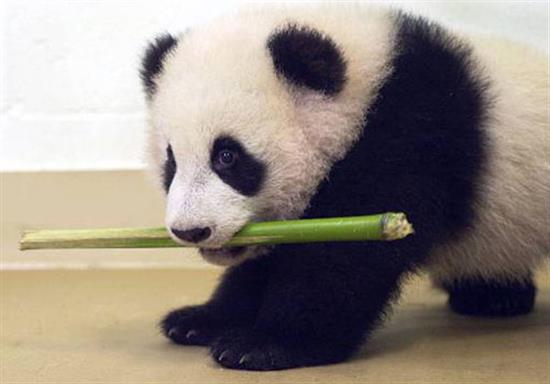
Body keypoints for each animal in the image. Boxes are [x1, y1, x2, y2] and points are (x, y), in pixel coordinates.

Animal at [141, 4, 550, 372]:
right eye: (171, 161)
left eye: (227, 156)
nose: (191, 230)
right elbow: (269, 258)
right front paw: (201, 320)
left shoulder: (414, 137)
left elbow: (345, 257)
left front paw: (267, 344)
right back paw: (493, 297)